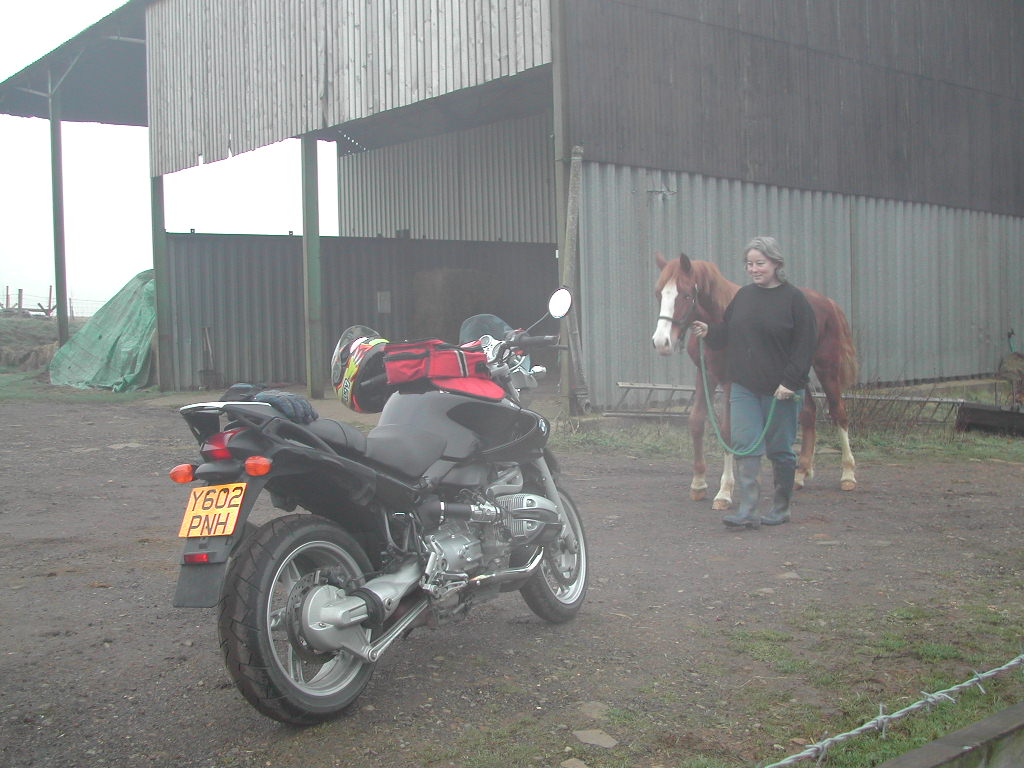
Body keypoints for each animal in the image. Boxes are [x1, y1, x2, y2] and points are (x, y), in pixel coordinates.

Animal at [651, 249, 860, 512]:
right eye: (659, 293)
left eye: (687, 295)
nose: (661, 342)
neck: (720, 321)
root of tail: (828, 302)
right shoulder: (705, 374)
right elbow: (696, 422)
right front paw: (698, 484)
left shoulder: (730, 382)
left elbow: (728, 431)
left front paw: (725, 491)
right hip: (795, 374)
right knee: (809, 412)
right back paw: (801, 473)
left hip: (826, 368)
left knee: (838, 412)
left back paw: (848, 475)